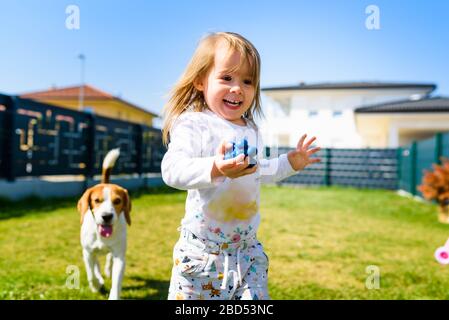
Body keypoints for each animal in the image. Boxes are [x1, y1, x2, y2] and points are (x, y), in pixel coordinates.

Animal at [76, 149, 130, 298]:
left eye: (117, 201)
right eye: (96, 200)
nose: (106, 216)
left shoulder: (120, 257)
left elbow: (116, 283)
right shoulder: (87, 252)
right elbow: (91, 274)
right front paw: (96, 285)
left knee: (109, 259)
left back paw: (107, 270)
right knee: (96, 266)